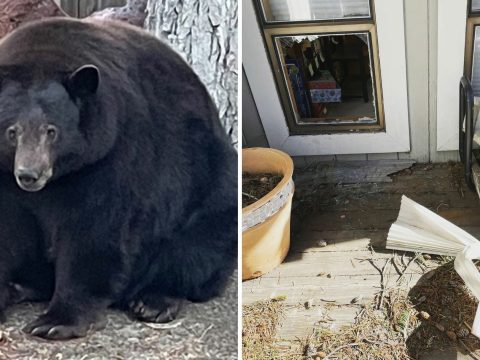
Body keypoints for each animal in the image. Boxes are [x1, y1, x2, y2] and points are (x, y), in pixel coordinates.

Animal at [0, 17, 236, 340]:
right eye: (13, 131)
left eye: (52, 131)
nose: (29, 175)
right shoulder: (3, 175)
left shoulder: (112, 155)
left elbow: (95, 229)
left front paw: (55, 321)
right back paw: (20, 286)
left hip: (208, 186)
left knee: (197, 247)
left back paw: (154, 300)